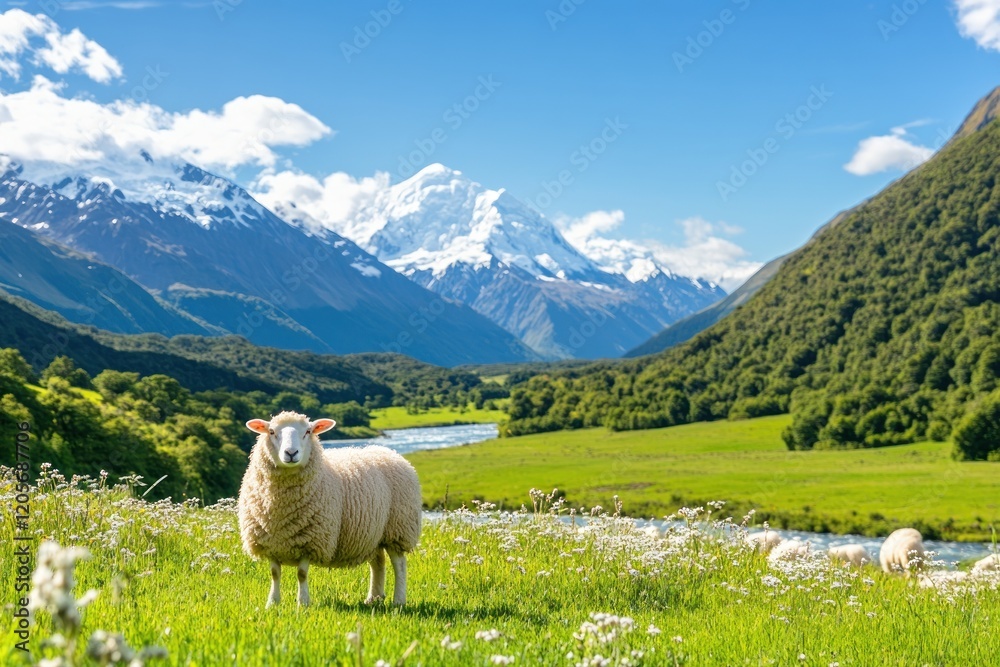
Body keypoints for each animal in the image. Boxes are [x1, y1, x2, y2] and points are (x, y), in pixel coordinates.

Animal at [237, 411, 422, 608]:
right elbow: (274, 574)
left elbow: (302, 574)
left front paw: (303, 604)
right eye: (272, 432)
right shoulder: (270, 542)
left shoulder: (311, 540)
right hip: (373, 534)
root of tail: (388, 451)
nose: (291, 453)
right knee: (378, 562)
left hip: (398, 528)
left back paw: (398, 601)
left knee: (399, 564)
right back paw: (374, 598)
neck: (281, 506)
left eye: (308, 431)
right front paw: (272, 604)